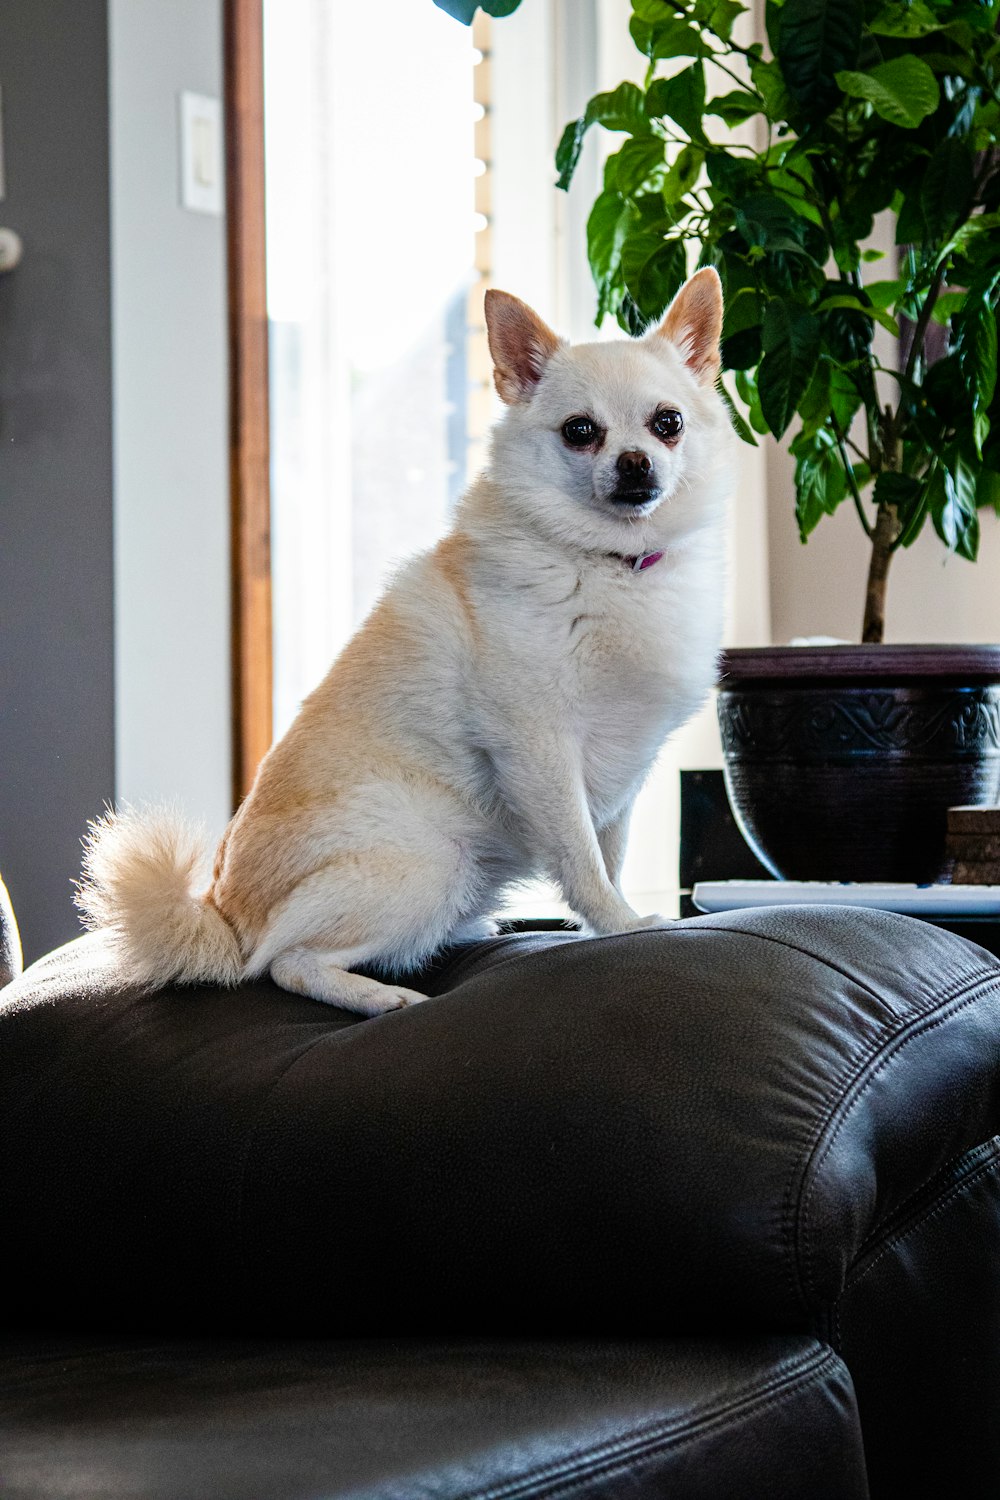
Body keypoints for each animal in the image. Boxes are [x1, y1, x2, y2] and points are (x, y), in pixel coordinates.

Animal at [78, 270, 731, 1020]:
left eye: (667, 424)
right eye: (580, 432)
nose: (635, 462)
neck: (612, 564)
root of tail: (222, 913)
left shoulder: (622, 769)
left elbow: (609, 852)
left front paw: (610, 915)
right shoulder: (540, 752)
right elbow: (580, 857)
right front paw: (621, 924)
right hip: (432, 863)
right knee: (285, 965)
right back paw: (379, 997)